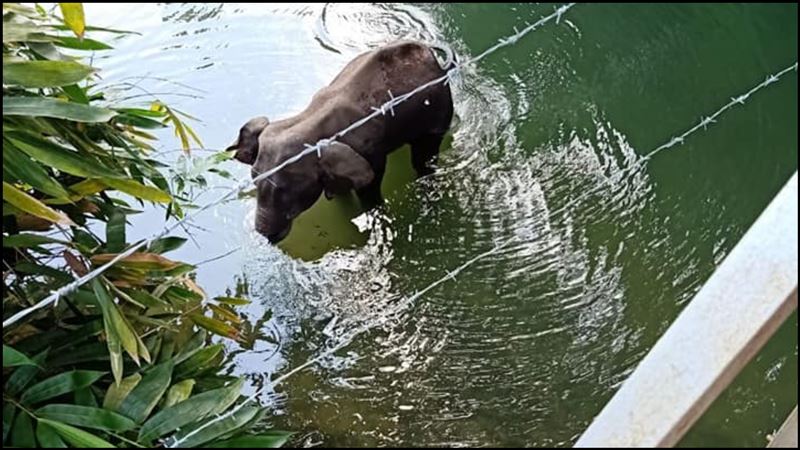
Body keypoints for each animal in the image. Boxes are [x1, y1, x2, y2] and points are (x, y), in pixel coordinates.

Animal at [227, 40, 455, 243]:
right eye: (254, 179)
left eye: (284, 189)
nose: (266, 236)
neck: (308, 119)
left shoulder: (370, 152)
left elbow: (370, 186)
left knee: (423, 157)